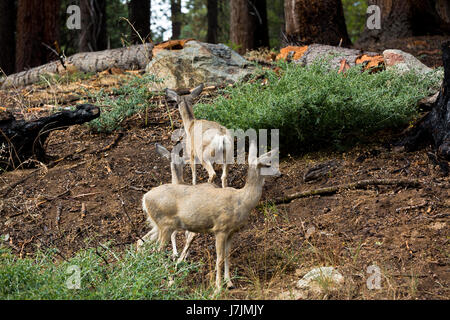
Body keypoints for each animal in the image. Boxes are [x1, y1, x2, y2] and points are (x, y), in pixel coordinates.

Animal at [140, 139, 278, 292]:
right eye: (267, 164)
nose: (279, 173)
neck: (242, 201)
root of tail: (144, 198)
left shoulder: (231, 232)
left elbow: (227, 256)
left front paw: (229, 282)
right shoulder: (220, 228)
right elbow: (219, 258)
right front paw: (218, 288)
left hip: (158, 225)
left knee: (145, 244)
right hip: (165, 225)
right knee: (157, 250)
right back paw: (167, 280)